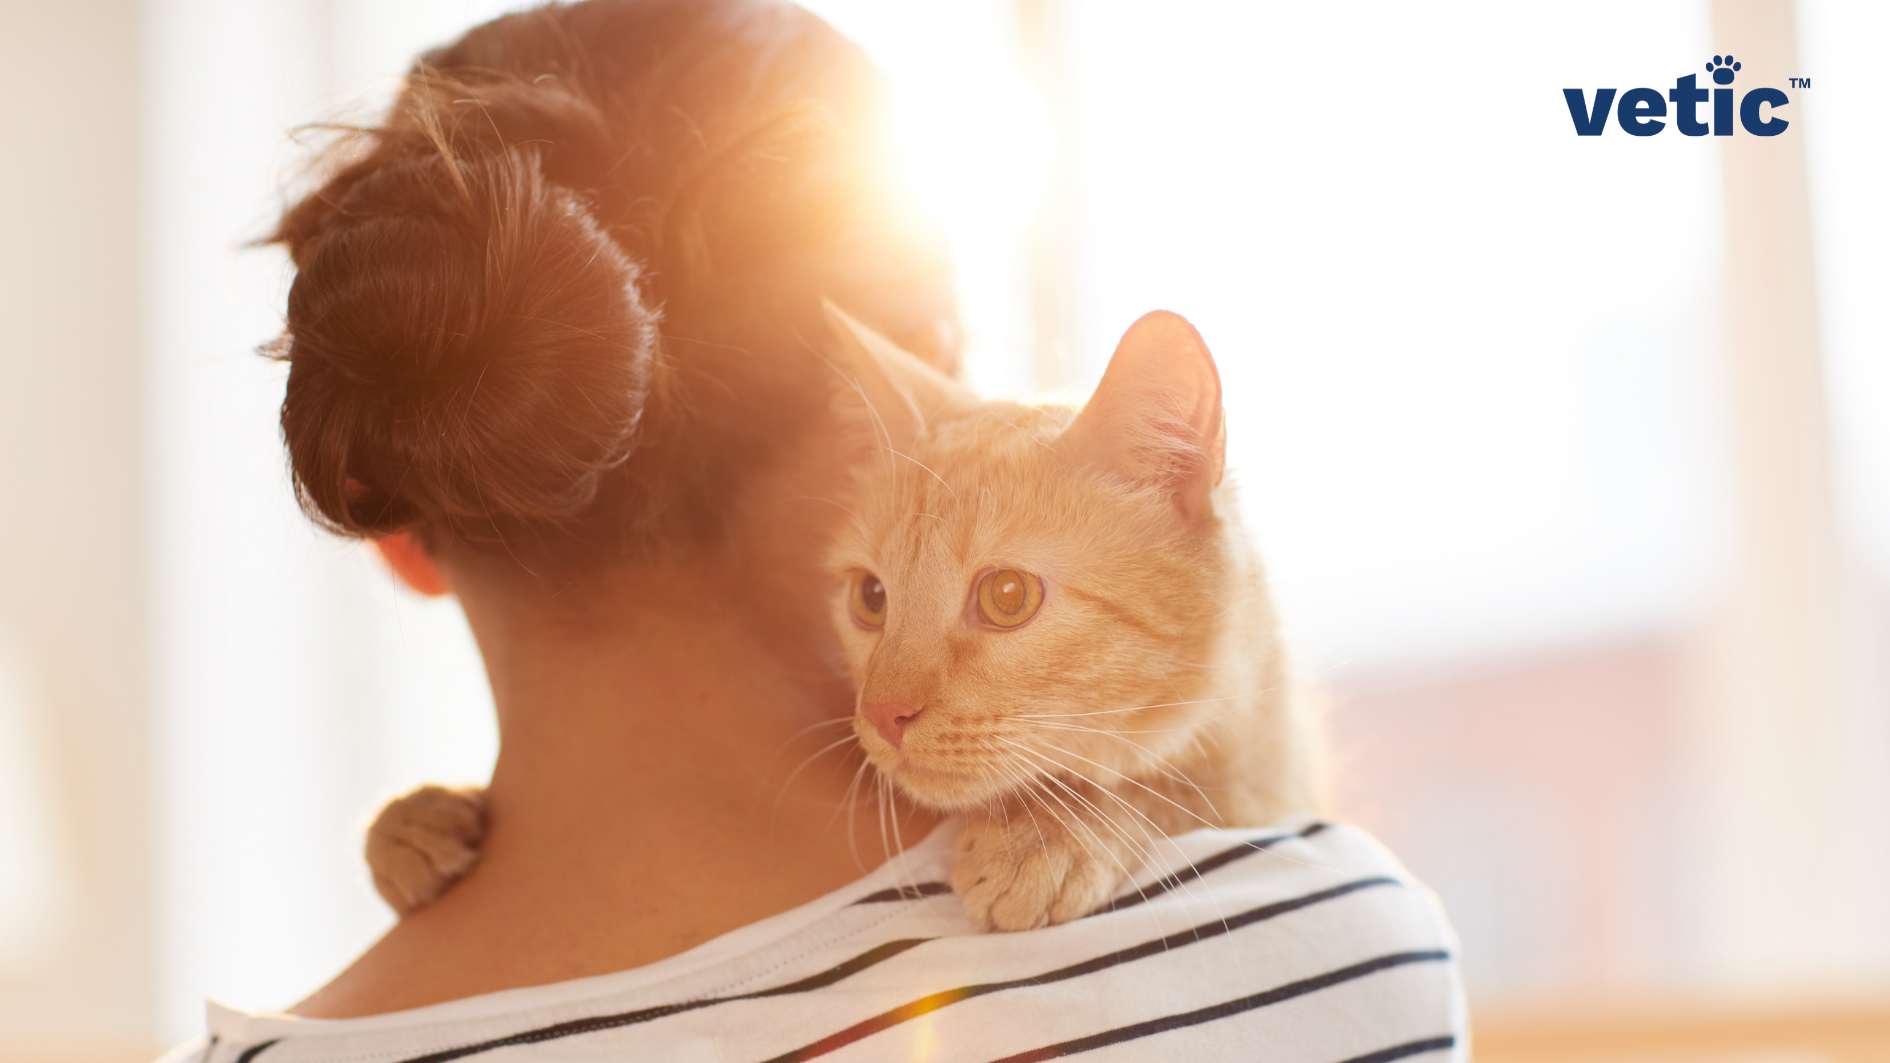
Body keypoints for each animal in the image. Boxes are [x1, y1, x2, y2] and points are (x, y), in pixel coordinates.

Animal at [360, 308, 1323, 926]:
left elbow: (1174, 787)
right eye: (871, 598)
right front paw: (420, 818)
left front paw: (1056, 830)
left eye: (1006, 596)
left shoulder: (1266, 783)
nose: (884, 713)